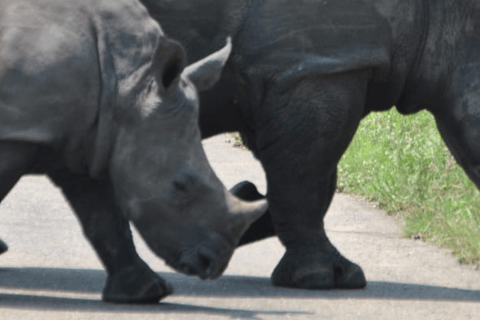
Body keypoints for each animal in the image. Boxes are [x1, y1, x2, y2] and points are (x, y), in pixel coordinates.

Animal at [0, 0, 266, 302]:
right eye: (180, 186)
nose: (213, 265)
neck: (126, 81)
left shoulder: (87, 135)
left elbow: (104, 216)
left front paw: (147, 292)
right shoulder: (21, 130)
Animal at [137, 0, 480, 290]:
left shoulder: (296, 71)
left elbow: (310, 180)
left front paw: (242, 203)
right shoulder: (318, 68)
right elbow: (305, 180)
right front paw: (325, 278)